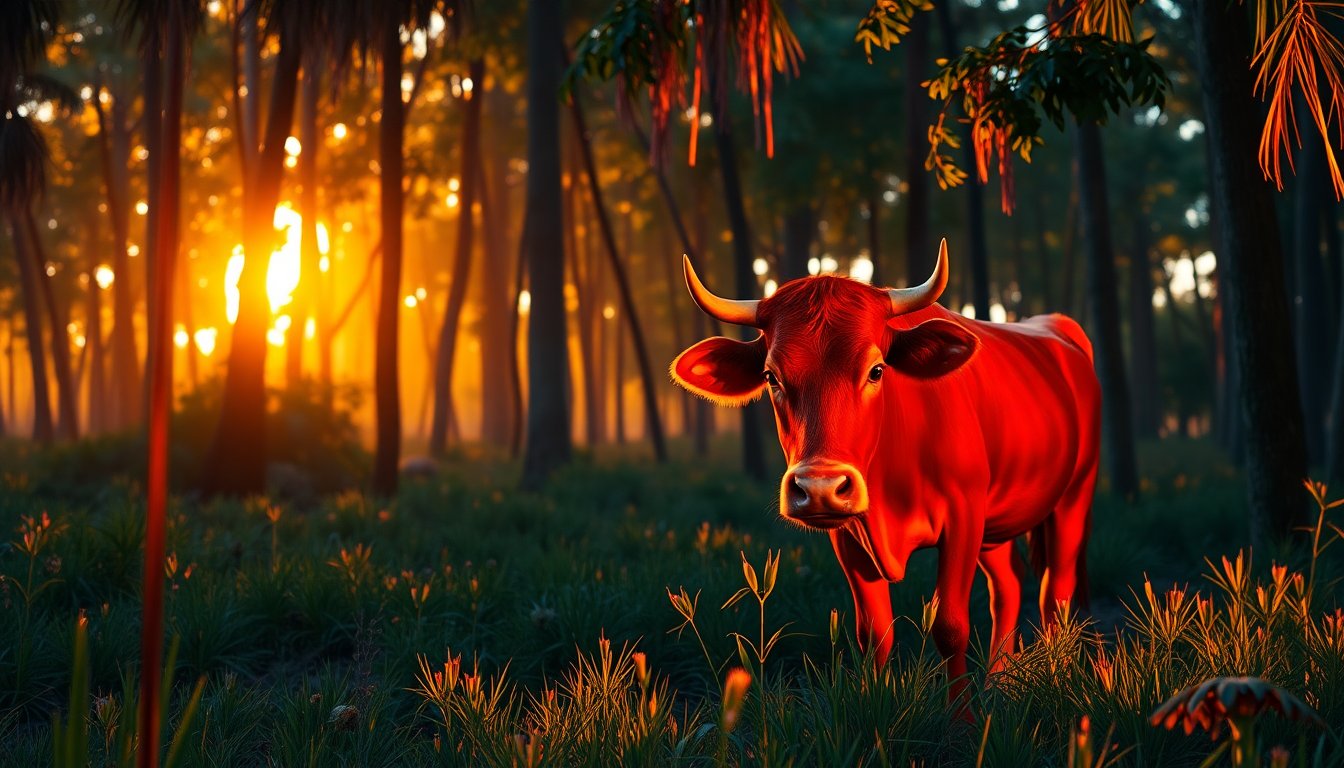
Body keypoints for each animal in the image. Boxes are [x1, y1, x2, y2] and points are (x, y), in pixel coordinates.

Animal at [670, 240, 1099, 703]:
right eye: (771, 376)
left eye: (877, 370)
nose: (819, 487)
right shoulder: (849, 536)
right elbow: (873, 632)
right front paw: (874, 704)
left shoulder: (964, 515)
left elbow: (950, 626)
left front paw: (962, 716)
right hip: (996, 525)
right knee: (1008, 587)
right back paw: (998, 683)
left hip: (1074, 495)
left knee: (1055, 591)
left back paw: (1053, 677)